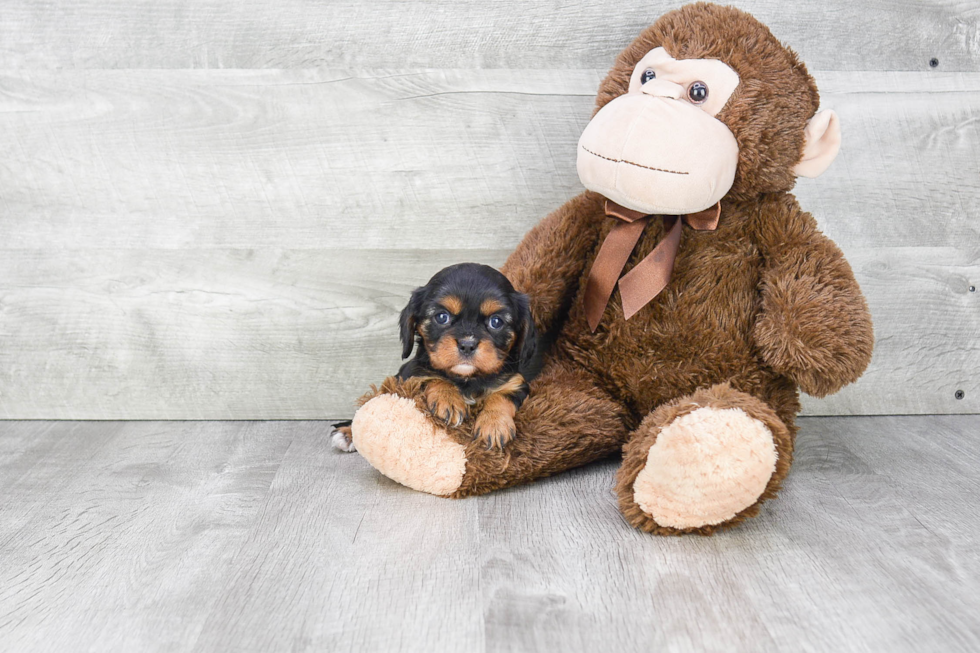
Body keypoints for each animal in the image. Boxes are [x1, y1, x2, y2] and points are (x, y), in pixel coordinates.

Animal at [334, 262, 540, 450]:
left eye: (496, 322)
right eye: (442, 317)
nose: (467, 344)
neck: (466, 380)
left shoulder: (516, 383)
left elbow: (501, 397)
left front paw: (494, 424)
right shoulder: (411, 374)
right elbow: (433, 378)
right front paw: (448, 399)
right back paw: (346, 433)